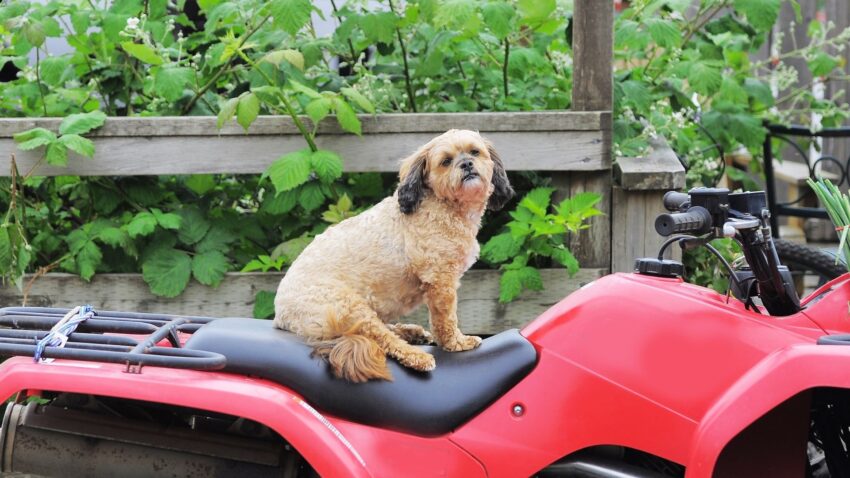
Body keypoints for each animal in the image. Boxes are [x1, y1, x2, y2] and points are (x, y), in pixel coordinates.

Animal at [274, 129, 510, 382]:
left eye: (475, 152)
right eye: (446, 161)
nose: (466, 164)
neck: (441, 204)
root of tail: (281, 315)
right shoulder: (440, 279)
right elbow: (445, 318)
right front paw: (456, 342)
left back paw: (410, 332)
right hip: (348, 306)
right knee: (380, 338)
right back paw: (418, 356)